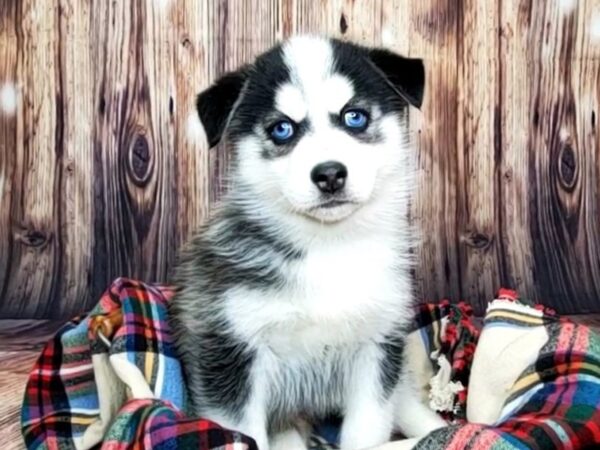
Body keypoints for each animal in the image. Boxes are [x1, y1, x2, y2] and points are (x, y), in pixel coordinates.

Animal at [169, 36, 446, 450]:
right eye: (282, 129)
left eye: (354, 117)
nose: (329, 174)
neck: (327, 247)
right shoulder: (231, 351)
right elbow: (244, 433)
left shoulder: (377, 346)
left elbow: (368, 429)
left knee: (404, 399)